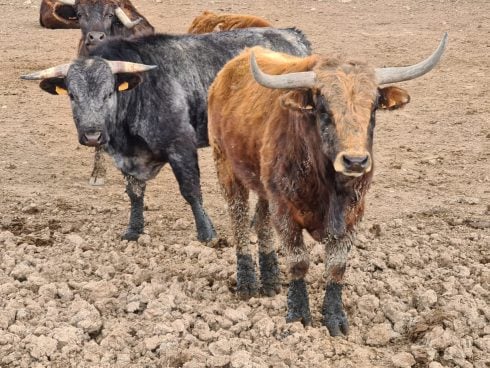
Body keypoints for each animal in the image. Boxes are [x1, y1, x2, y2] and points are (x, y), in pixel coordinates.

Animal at [209, 34, 446, 336]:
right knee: (239, 220)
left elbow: (336, 267)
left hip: (263, 187)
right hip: (225, 165)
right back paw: (248, 283)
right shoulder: (285, 211)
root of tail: (230, 68)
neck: (328, 185)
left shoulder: (352, 215)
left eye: (373, 108)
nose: (355, 161)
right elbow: (298, 261)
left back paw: (271, 280)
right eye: (323, 109)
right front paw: (298, 315)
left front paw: (335, 318)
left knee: (261, 222)